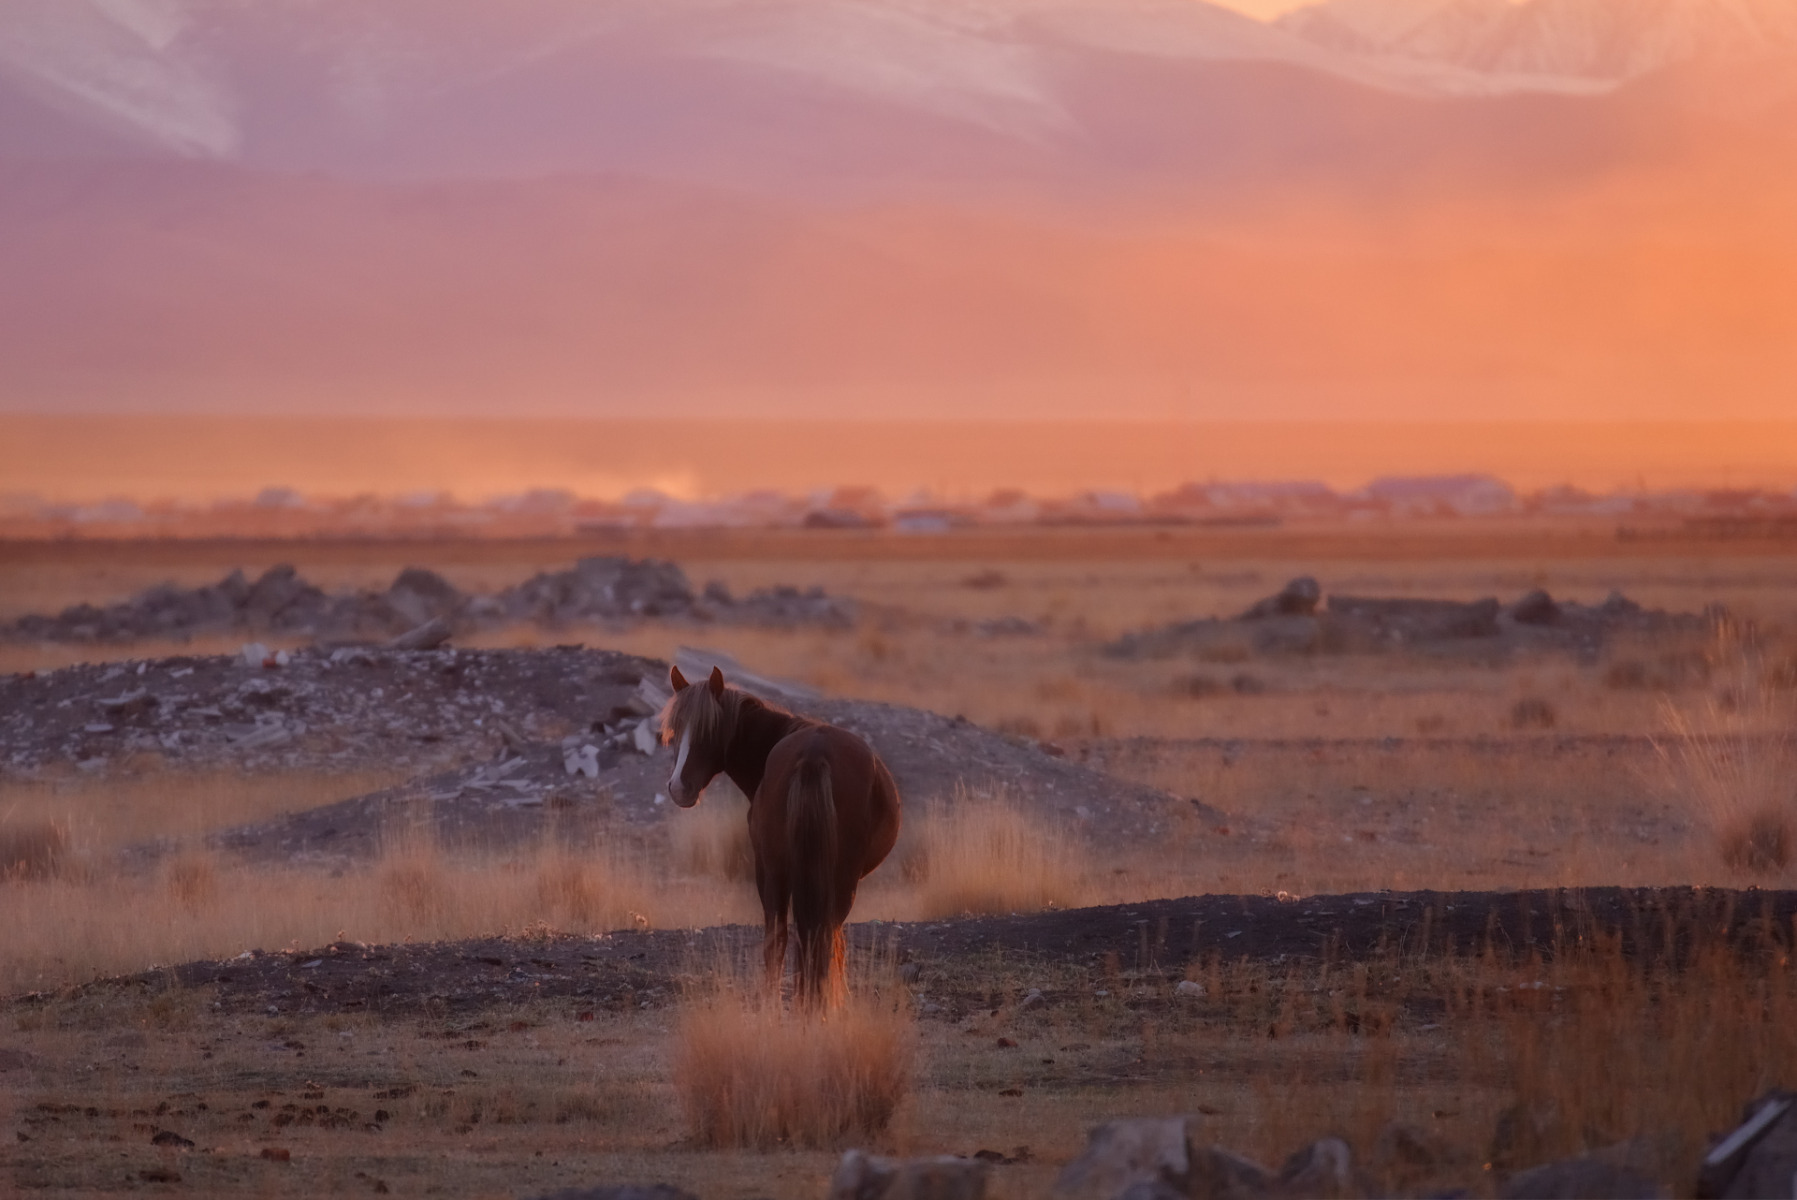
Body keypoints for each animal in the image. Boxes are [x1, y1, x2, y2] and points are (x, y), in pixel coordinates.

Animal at [664, 664, 905, 1005]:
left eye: (708, 730)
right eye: (675, 730)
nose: (678, 787)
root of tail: (814, 753)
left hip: (780, 873)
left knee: (791, 939)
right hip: (829, 879)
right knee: (814, 937)